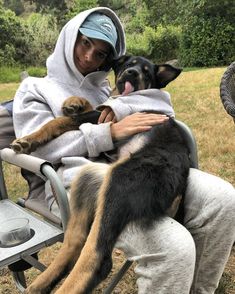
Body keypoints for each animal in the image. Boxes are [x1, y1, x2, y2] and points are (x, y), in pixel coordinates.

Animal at [11, 55, 190, 294]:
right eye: (128, 64)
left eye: (146, 71)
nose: (132, 73)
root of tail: (179, 188)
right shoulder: (102, 112)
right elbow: (89, 106)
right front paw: (74, 102)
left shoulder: (102, 116)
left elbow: (59, 121)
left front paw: (28, 140)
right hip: (89, 175)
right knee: (75, 241)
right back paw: (40, 284)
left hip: (120, 181)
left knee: (98, 256)